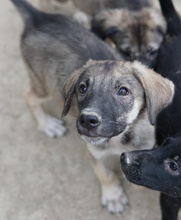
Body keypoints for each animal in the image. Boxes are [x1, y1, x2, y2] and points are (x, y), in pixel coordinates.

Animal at [10, 0, 174, 215]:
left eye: (123, 91)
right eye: (82, 88)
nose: (87, 119)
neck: (119, 139)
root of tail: (38, 17)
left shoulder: (143, 148)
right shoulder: (92, 153)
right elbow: (103, 173)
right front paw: (112, 195)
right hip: (43, 84)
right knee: (28, 96)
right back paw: (47, 125)